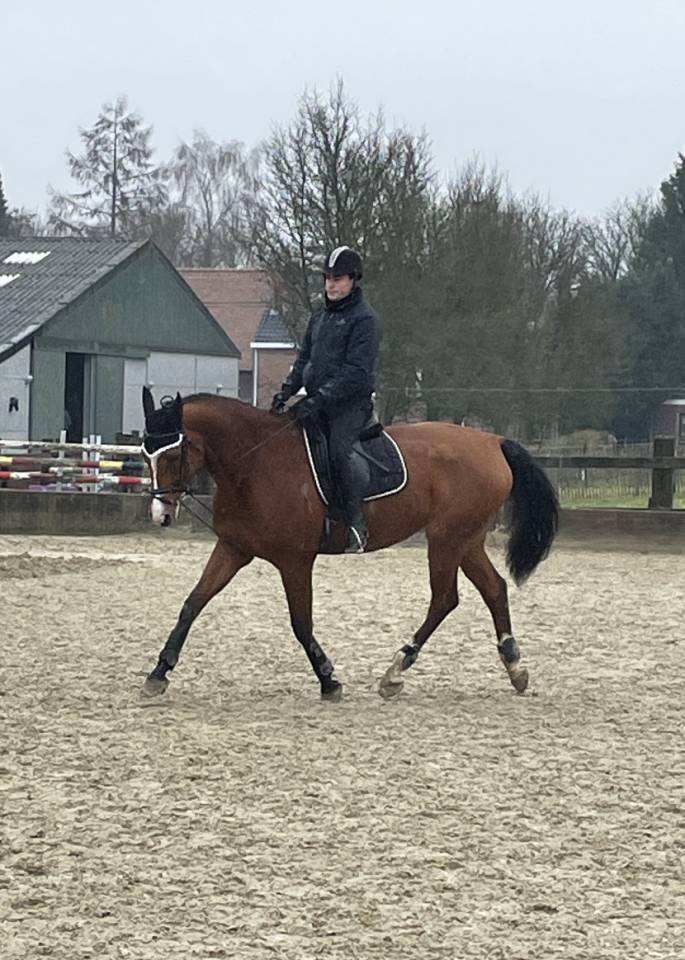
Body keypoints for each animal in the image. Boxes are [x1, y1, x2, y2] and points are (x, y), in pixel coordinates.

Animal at [140, 388, 558, 702]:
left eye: (174, 453)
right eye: (146, 454)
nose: (160, 515)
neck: (254, 463)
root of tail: (492, 441)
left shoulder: (295, 560)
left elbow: (301, 622)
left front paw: (329, 679)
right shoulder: (233, 548)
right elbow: (193, 604)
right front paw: (159, 672)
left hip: (446, 539)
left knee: (444, 599)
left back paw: (395, 671)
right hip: (465, 540)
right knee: (493, 588)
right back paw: (514, 667)